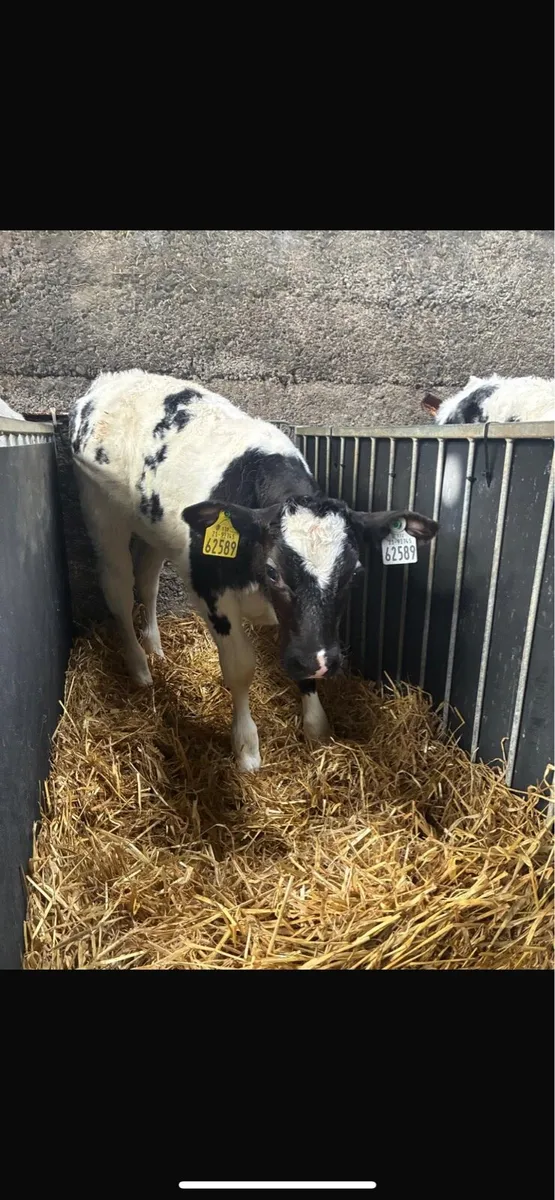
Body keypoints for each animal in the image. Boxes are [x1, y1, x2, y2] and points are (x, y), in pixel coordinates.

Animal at [70, 370, 439, 771]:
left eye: (355, 573)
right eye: (273, 571)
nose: (321, 662)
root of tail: (112, 379)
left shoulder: (301, 629)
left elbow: (299, 661)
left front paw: (316, 725)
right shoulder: (211, 594)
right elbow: (240, 668)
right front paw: (246, 746)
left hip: (154, 532)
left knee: (148, 580)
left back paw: (154, 647)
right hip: (101, 514)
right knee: (119, 590)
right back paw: (139, 666)